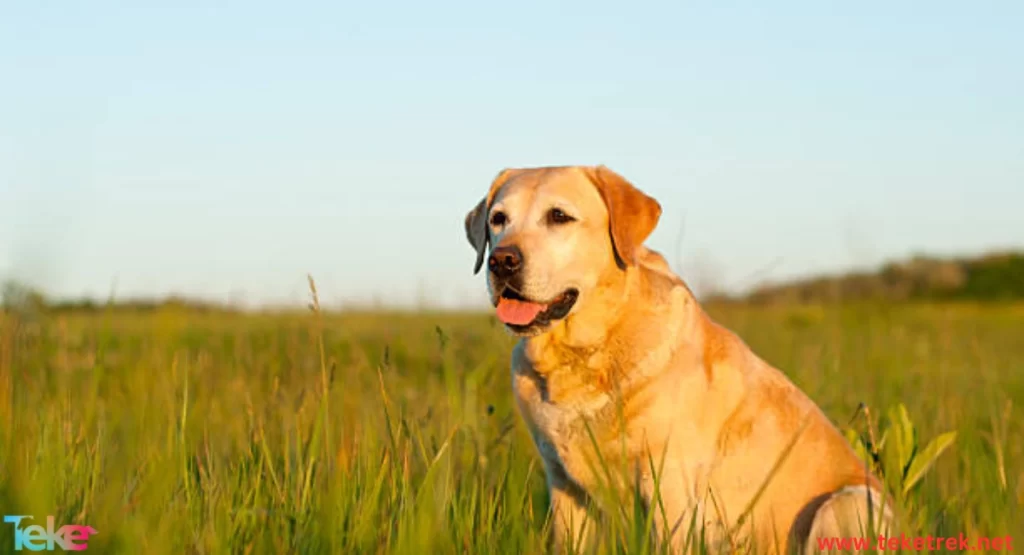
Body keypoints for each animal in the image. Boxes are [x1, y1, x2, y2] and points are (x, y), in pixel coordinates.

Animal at [462, 163, 888, 552]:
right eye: (498, 219)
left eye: (559, 217)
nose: (502, 261)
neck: (586, 353)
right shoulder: (564, 487)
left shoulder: (669, 485)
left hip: (844, 504)